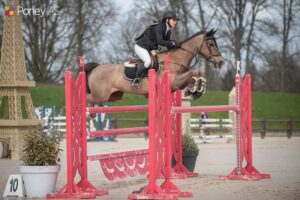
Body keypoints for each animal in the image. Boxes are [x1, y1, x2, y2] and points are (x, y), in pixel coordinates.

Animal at [83, 28, 224, 104]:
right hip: (100, 95)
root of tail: (96, 68)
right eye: (211, 44)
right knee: (87, 98)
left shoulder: (177, 85)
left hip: (113, 96)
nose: (221, 61)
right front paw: (195, 89)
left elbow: (197, 74)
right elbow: (193, 72)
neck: (175, 59)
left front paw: (196, 90)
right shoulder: (173, 81)